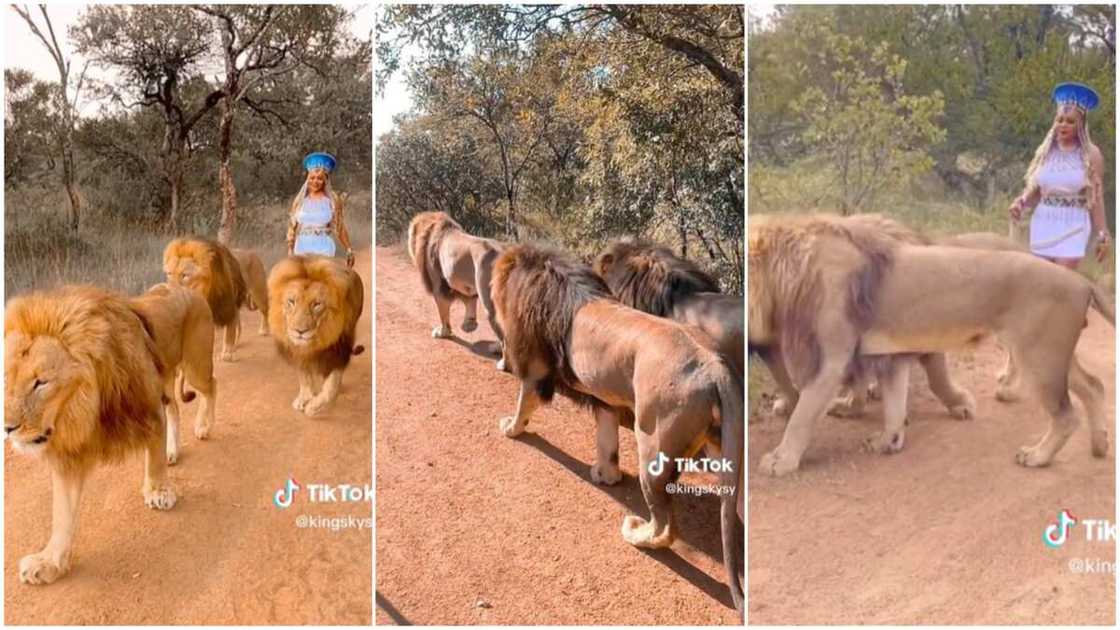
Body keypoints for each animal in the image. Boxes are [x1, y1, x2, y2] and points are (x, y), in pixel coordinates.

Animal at [4, 286, 177, 585]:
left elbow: (154, 456)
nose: (7, 427)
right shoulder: (69, 455)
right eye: (5, 378)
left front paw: (158, 491)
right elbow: (62, 513)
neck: (85, 409)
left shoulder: (150, 408)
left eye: (41, 382)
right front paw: (49, 562)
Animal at [128, 283, 217, 465]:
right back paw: (175, 449)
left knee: (212, 385)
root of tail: (193, 292)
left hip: (195, 366)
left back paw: (205, 428)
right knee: (177, 406)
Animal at [268, 255, 365, 416]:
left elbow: (330, 388)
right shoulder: (299, 354)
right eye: (291, 301)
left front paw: (313, 406)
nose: (300, 331)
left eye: (316, 304)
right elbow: (304, 376)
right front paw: (304, 398)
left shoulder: (338, 352)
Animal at [407, 211, 506, 370]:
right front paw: (469, 325)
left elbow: (443, 314)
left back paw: (504, 364)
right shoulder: (464, 285)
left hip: (490, 302)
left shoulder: (439, 286)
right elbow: (470, 302)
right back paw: (496, 348)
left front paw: (443, 332)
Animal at [749, 213, 1112, 476]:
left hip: (1038, 354)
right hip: (1051, 353)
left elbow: (803, 414)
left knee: (1066, 415)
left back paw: (1037, 456)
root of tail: (1082, 282)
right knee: (1093, 386)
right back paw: (1100, 445)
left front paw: (781, 460)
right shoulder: (890, 355)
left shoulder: (833, 358)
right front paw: (888, 440)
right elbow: (894, 405)